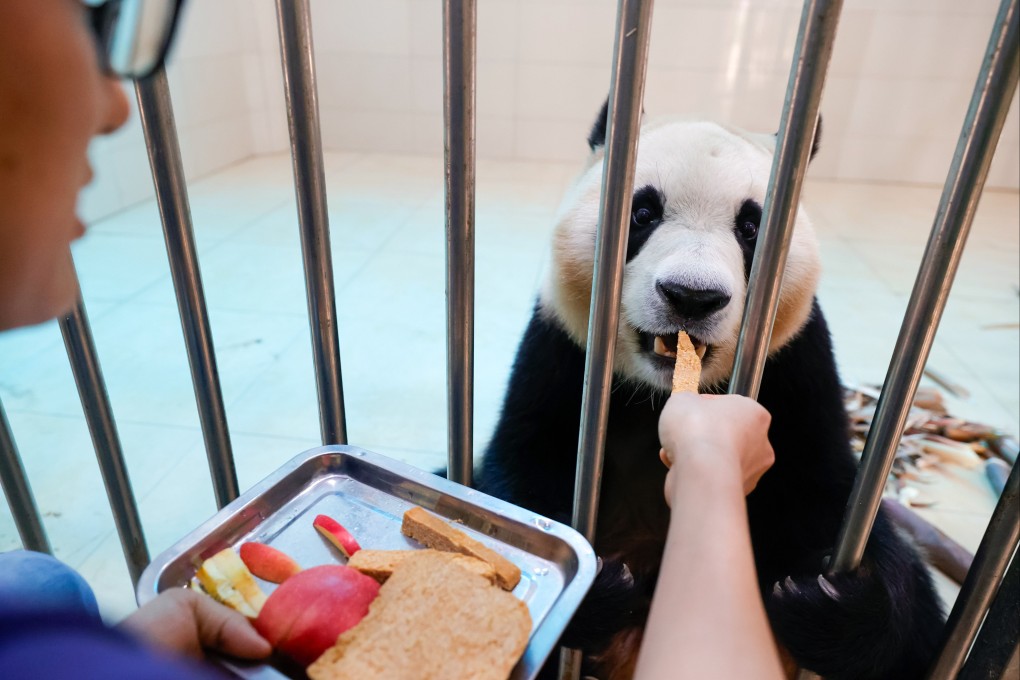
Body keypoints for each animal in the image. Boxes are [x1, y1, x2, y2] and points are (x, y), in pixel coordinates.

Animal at [473, 103, 942, 676]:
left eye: (751, 226)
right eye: (642, 213)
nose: (691, 297)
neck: (658, 391)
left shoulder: (795, 364)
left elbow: (821, 490)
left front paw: (830, 601)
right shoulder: (561, 344)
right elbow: (523, 462)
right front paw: (598, 583)